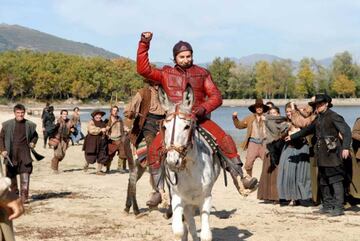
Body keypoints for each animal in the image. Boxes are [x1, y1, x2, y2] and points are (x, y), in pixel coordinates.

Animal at [159, 86, 221, 241]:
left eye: (187, 126)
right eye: (164, 127)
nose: (172, 161)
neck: (190, 170)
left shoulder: (206, 198)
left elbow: (205, 235)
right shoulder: (178, 198)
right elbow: (180, 230)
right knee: (189, 224)